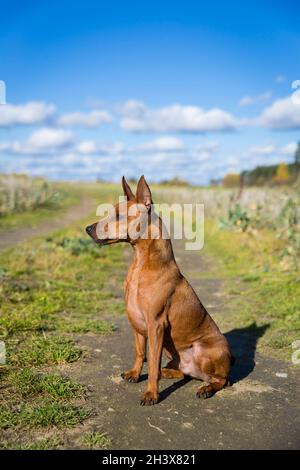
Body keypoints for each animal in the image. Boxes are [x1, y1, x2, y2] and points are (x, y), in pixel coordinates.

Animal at [85, 175, 233, 404]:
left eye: (118, 215)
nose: (88, 229)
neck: (142, 263)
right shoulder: (137, 322)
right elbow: (140, 353)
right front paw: (135, 374)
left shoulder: (156, 325)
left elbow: (153, 363)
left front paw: (151, 393)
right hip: (172, 351)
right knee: (182, 372)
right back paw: (170, 372)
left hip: (207, 350)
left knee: (222, 380)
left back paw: (206, 388)